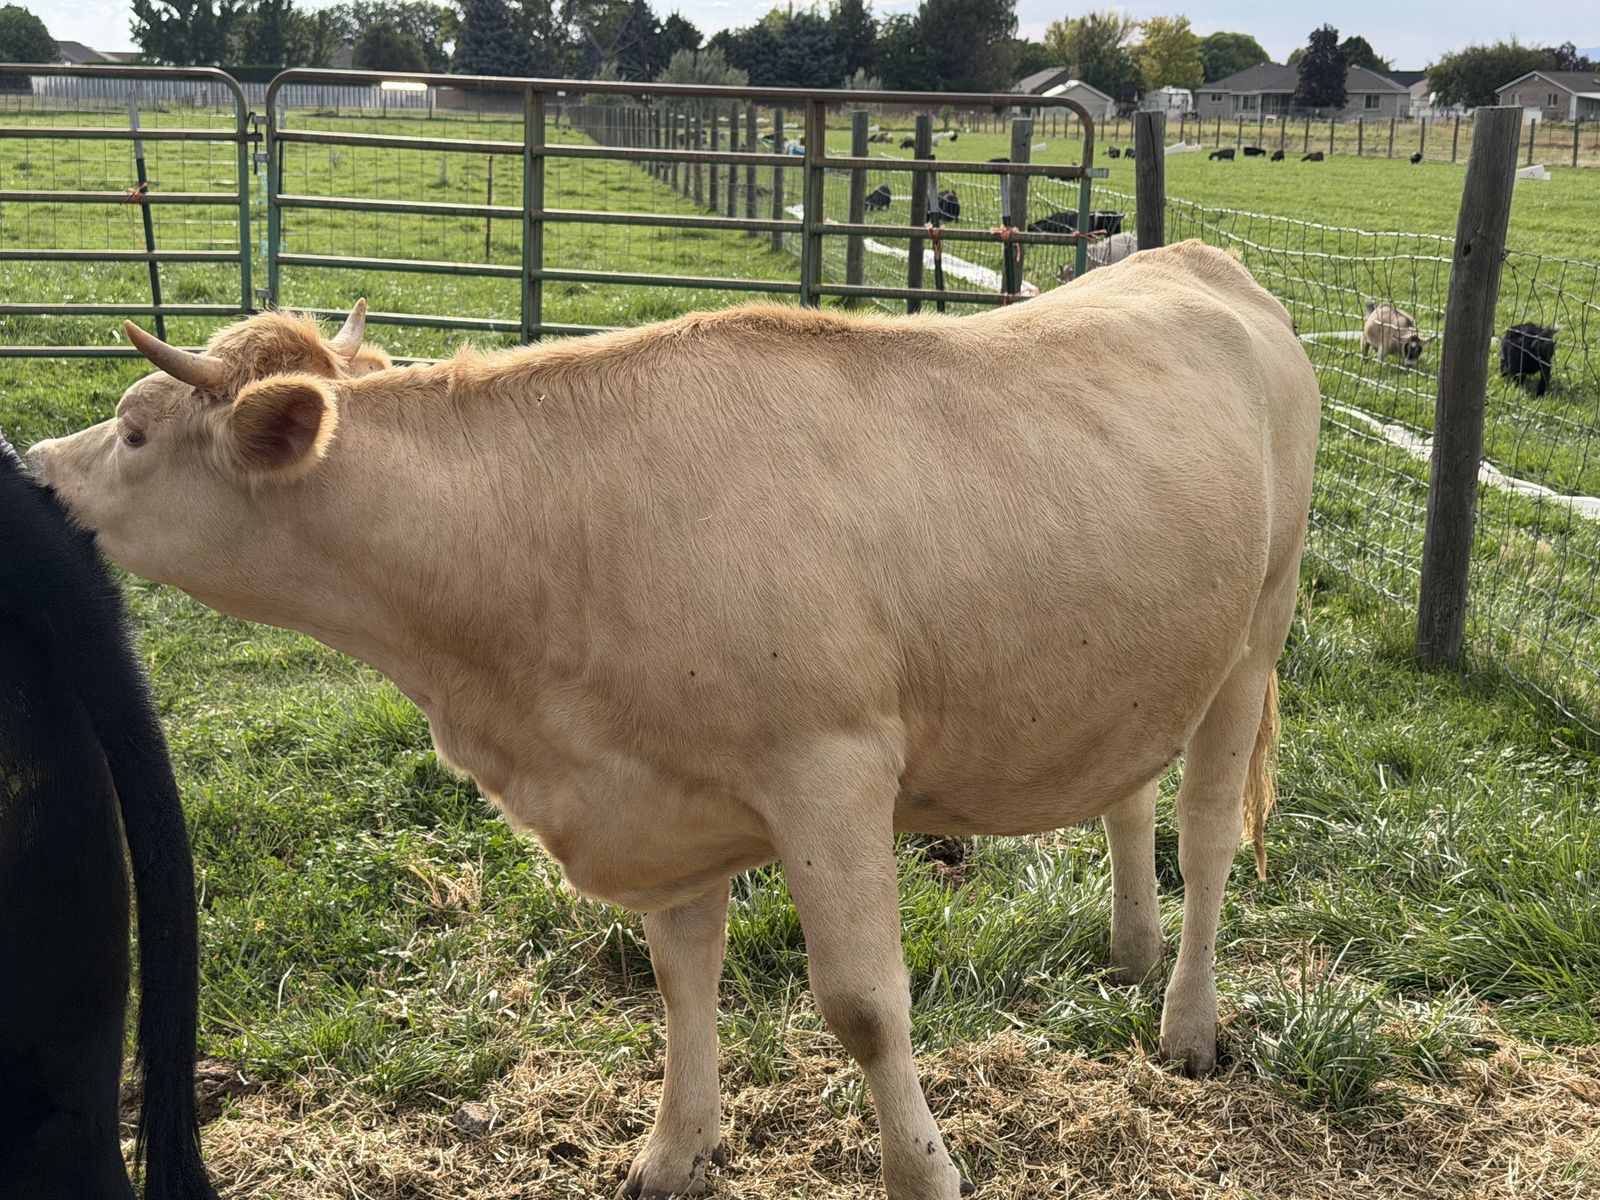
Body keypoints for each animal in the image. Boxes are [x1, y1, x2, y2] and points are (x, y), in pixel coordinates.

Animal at [29, 243, 1320, 1200]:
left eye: (133, 429)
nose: (33, 463)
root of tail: (1201, 259)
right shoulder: (661, 789)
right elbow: (679, 975)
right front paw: (673, 1147)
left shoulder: (830, 768)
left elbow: (862, 1006)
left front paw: (921, 1171)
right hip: (1141, 652)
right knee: (1128, 794)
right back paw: (1132, 948)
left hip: (1255, 632)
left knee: (1206, 829)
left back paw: (1187, 1021)